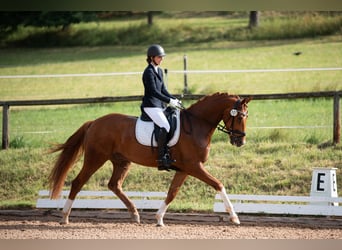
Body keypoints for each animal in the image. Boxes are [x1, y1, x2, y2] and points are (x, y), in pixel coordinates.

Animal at [48, 93, 251, 226]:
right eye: (239, 116)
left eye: (246, 116)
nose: (240, 141)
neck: (196, 125)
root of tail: (94, 122)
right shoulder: (194, 166)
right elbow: (218, 184)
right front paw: (234, 217)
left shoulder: (185, 169)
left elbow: (172, 192)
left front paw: (159, 219)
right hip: (95, 158)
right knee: (78, 182)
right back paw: (65, 217)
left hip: (122, 161)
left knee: (114, 185)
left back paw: (135, 214)